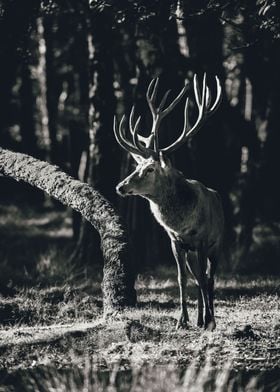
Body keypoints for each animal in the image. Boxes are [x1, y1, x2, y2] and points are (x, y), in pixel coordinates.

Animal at [112, 74, 224, 330]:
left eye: (150, 169)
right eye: (137, 166)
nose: (120, 186)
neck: (182, 225)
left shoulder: (203, 241)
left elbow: (206, 280)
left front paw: (210, 322)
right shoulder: (175, 242)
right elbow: (182, 279)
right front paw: (183, 320)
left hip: (217, 245)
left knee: (209, 278)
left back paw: (208, 318)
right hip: (191, 252)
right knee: (198, 278)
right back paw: (199, 318)